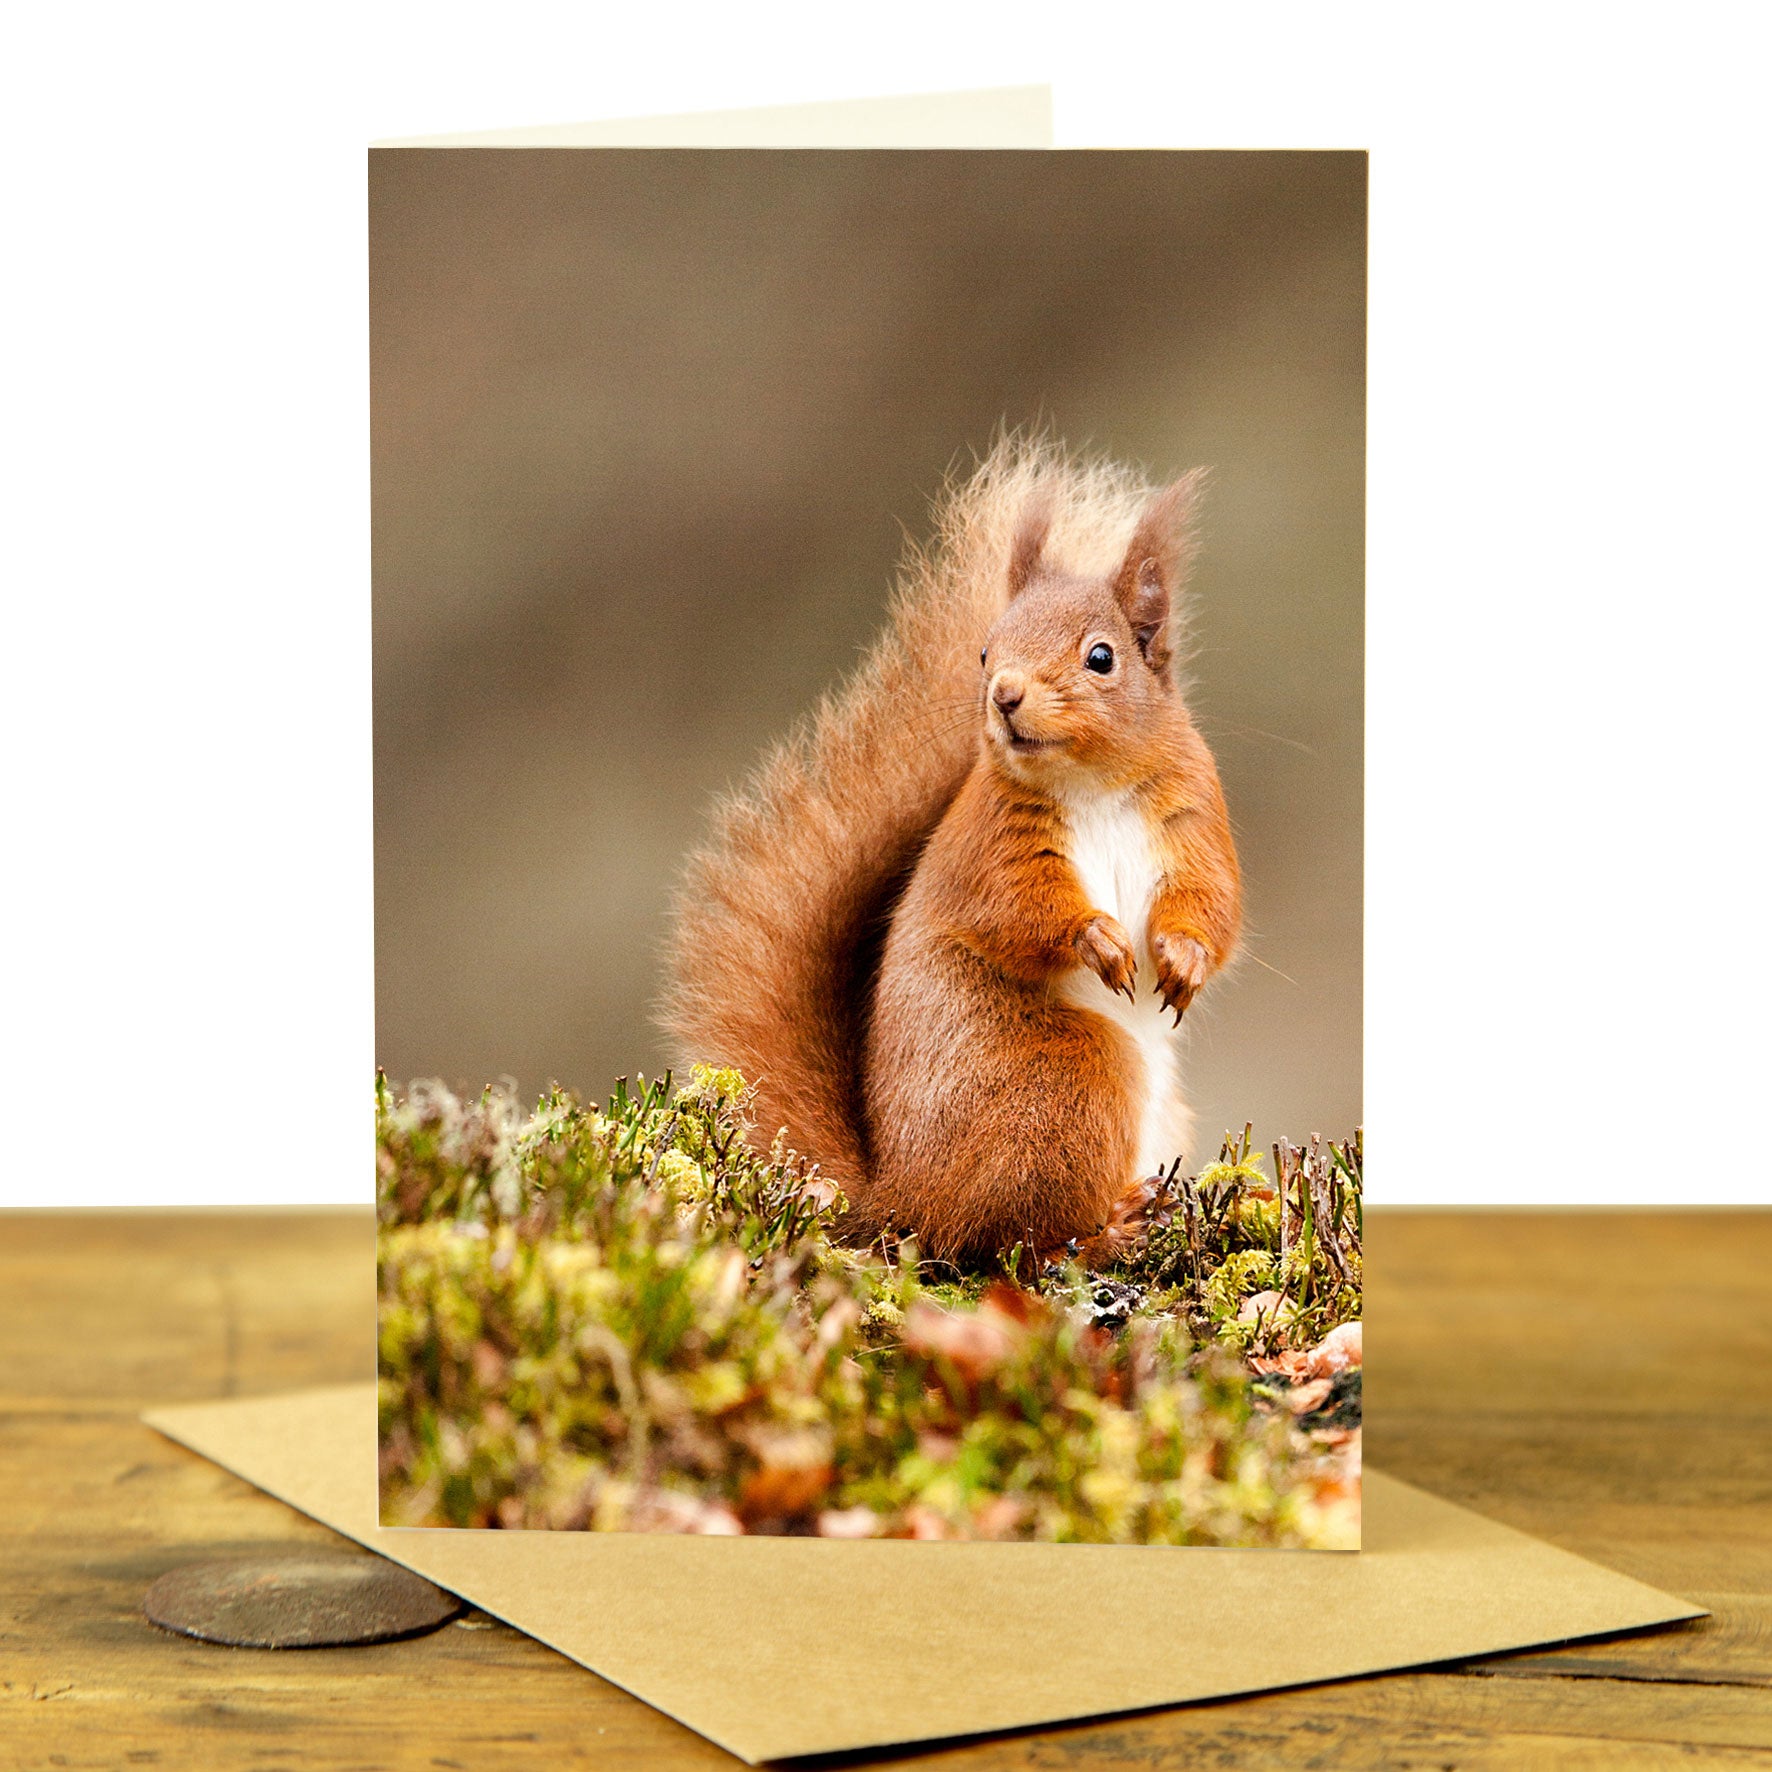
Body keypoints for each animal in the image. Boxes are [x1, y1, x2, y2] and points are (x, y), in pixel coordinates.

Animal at [661, 437, 1241, 1269]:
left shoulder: (1195, 821)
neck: (1091, 783)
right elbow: (1017, 910)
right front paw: (1095, 939)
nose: (1004, 694)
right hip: (1066, 1084)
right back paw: (1110, 1230)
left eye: (1102, 658)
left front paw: (1185, 958)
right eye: (985, 650)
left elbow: (1212, 903)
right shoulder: (991, 844)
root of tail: (902, 1198)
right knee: (1017, 1240)